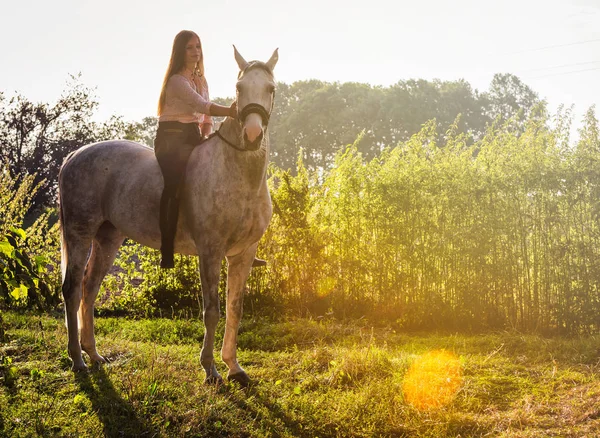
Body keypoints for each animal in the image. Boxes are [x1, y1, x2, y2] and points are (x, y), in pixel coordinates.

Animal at [58, 45, 278, 386]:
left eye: (270, 89)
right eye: (239, 88)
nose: (253, 134)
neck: (237, 172)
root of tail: (75, 155)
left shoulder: (243, 254)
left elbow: (235, 309)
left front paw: (234, 366)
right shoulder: (210, 252)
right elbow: (212, 310)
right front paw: (210, 369)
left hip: (108, 238)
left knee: (90, 289)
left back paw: (94, 354)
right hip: (80, 233)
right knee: (72, 289)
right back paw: (77, 359)